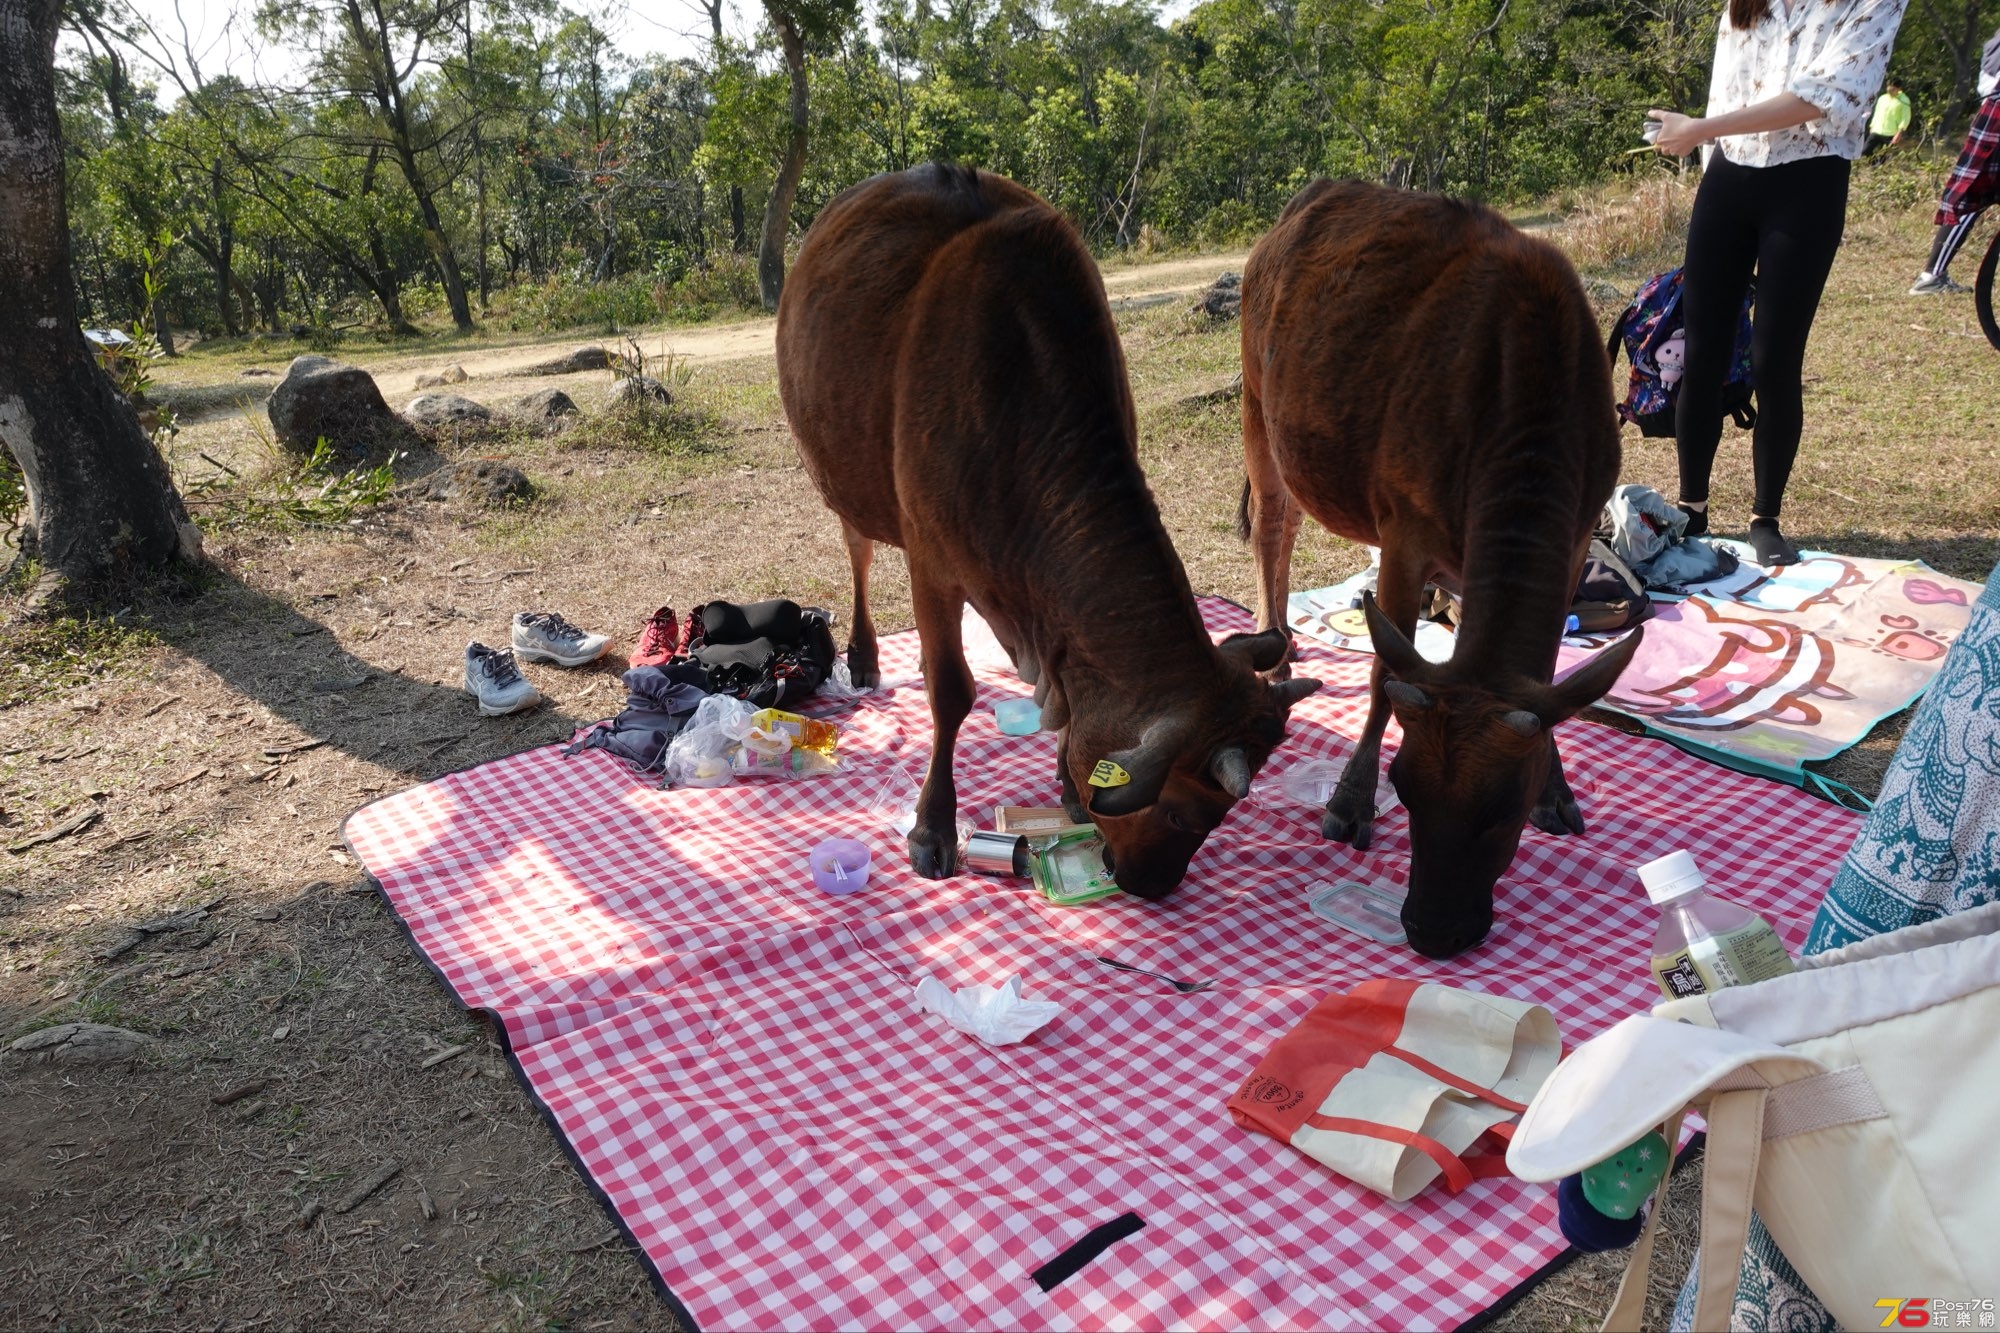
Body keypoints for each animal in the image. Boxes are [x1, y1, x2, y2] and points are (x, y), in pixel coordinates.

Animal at [780, 166, 1328, 892]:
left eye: (1218, 818)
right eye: (1180, 813)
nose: (1151, 884)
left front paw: (1066, 784)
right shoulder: (931, 558)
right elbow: (950, 691)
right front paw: (933, 827)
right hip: (844, 477)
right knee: (859, 550)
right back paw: (865, 654)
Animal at [1240, 182, 1648, 960]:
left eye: (1504, 808)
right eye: (1404, 787)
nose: (1431, 930)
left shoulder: (1578, 534)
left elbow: (1549, 675)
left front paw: (1559, 790)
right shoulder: (1402, 530)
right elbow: (1382, 672)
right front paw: (1349, 802)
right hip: (1257, 407)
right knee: (1273, 528)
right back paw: (1273, 648)